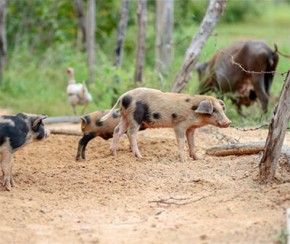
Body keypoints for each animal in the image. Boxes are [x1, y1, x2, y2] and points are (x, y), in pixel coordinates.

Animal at [101, 87, 232, 162]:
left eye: (222, 109)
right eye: (214, 110)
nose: (228, 122)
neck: (195, 112)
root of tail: (123, 96)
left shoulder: (191, 128)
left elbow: (192, 142)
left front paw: (198, 158)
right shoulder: (179, 125)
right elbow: (182, 141)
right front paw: (184, 160)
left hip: (125, 117)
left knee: (118, 130)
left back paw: (114, 154)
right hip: (135, 116)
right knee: (130, 132)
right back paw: (140, 157)